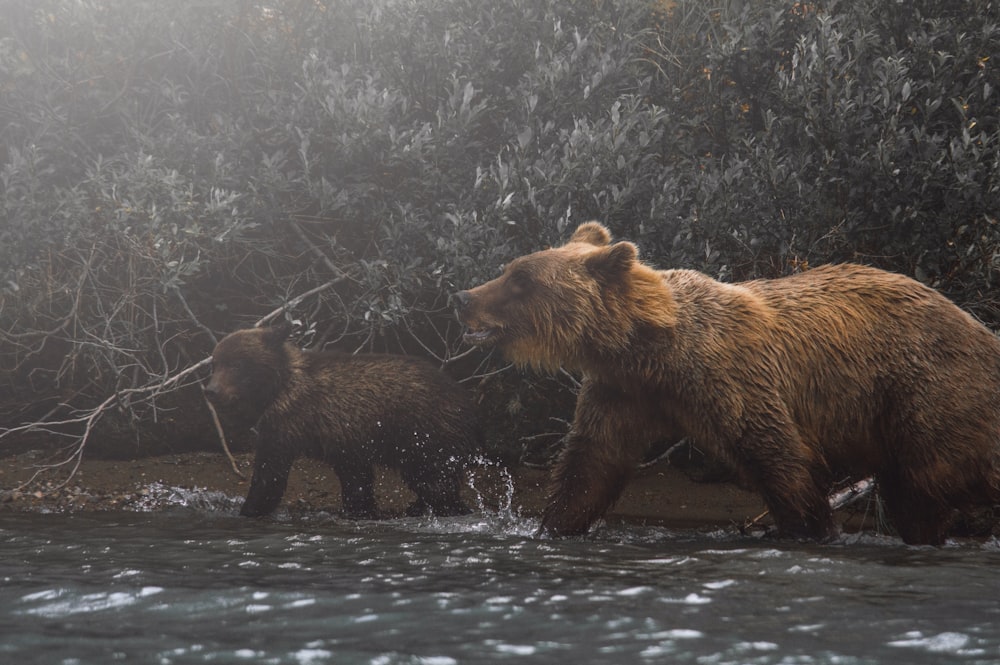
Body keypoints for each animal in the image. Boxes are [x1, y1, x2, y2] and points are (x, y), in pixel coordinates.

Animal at [203, 324, 480, 516]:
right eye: (215, 364)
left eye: (237, 365)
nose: (211, 391)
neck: (277, 389)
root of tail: (466, 401)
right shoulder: (344, 442)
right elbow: (357, 480)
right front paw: (360, 510)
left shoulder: (288, 425)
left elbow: (269, 474)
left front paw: (248, 508)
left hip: (425, 434)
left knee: (434, 481)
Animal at [456, 220, 1000, 544]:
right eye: (510, 269)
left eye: (520, 280)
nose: (464, 297)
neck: (649, 346)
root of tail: (981, 328)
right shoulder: (623, 390)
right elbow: (591, 464)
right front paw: (550, 527)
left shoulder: (729, 376)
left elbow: (777, 454)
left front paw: (811, 529)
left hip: (928, 393)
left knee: (924, 486)